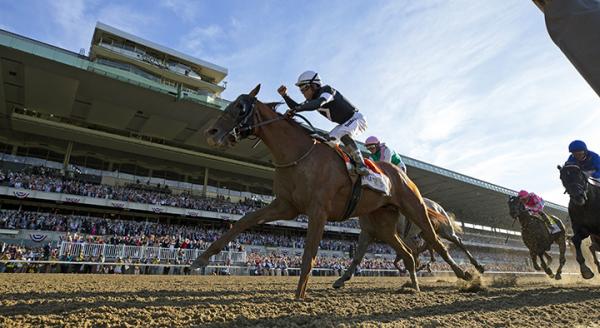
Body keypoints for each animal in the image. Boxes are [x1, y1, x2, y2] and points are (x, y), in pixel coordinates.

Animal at [190, 85, 472, 300]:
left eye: (240, 107)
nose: (211, 133)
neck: (298, 154)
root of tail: (399, 173)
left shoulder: (318, 211)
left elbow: (309, 254)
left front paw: (299, 294)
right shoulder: (285, 205)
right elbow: (243, 221)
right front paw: (200, 260)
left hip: (414, 209)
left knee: (437, 243)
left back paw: (467, 274)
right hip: (382, 223)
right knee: (407, 254)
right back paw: (413, 286)